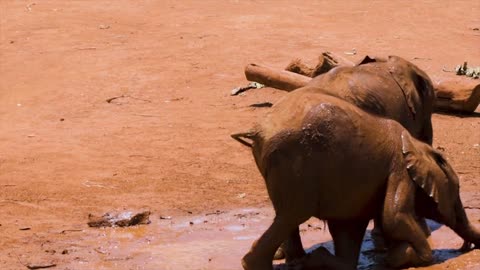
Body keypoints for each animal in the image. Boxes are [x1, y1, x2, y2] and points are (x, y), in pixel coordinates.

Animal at [232, 87, 480, 268]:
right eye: (456, 192)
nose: (464, 248)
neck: (417, 146)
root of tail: (260, 131)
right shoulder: (399, 169)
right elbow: (394, 216)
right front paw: (409, 256)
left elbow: (348, 227)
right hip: (293, 161)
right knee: (294, 213)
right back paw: (254, 265)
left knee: (287, 216)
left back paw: (300, 262)